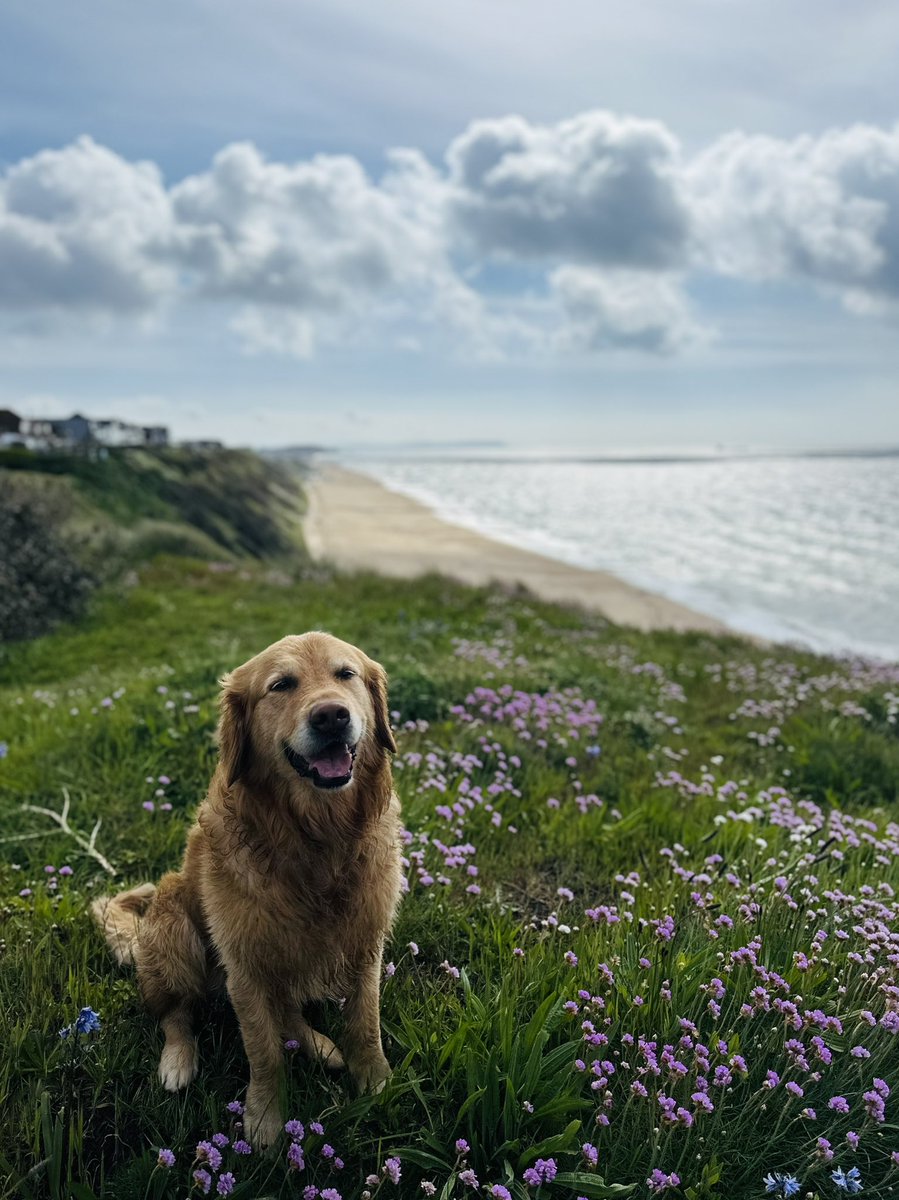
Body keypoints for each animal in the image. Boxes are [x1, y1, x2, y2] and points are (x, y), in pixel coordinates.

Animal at [91, 628, 400, 1142]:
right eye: (281, 685)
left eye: (346, 674)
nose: (331, 715)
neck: (315, 838)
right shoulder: (246, 965)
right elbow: (264, 1051)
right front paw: (264, 1122)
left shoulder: (364, 943)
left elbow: (365, 1022)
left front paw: (376, 1084)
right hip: (176, 931)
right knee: (176, 1015)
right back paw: (178, 1062)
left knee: (289, 1010)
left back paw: (320, 1046)